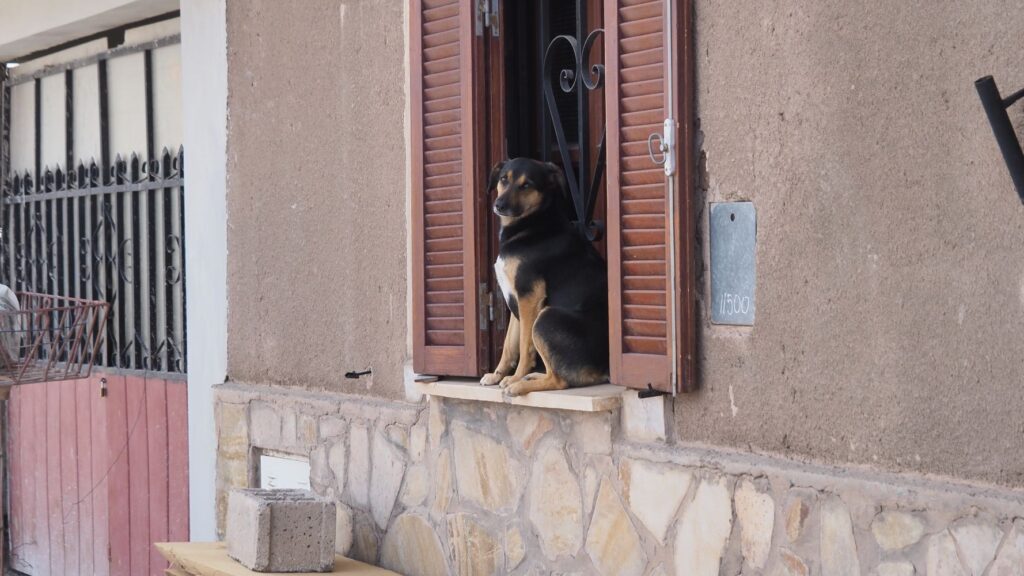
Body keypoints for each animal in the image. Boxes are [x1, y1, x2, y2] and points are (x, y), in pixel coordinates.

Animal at [479, 158, 606, 397]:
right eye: (504, 179)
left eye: (527, 185)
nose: (499, 205)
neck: (531, 225)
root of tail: (605, 369)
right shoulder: (515, 299)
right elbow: (509, 345)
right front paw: (497, 375)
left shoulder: (529, 297)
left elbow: (524, 346)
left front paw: (514, 378)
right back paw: (532, 377)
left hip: (546, 317)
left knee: (561, 380)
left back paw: (520, 384)